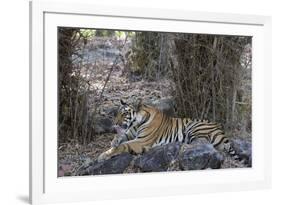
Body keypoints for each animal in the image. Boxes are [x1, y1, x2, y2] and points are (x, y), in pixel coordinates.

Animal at [97, 98, 235, 161]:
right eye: (117, 113)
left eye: (124, 114)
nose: (114, 123)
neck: (136, 123)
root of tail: (222, 131)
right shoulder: (131, 133)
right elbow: (121, 137)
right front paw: (114, 141)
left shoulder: (141, 141)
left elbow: (123, 145)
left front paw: (104, 155)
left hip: (194, 127)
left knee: (200, 144)